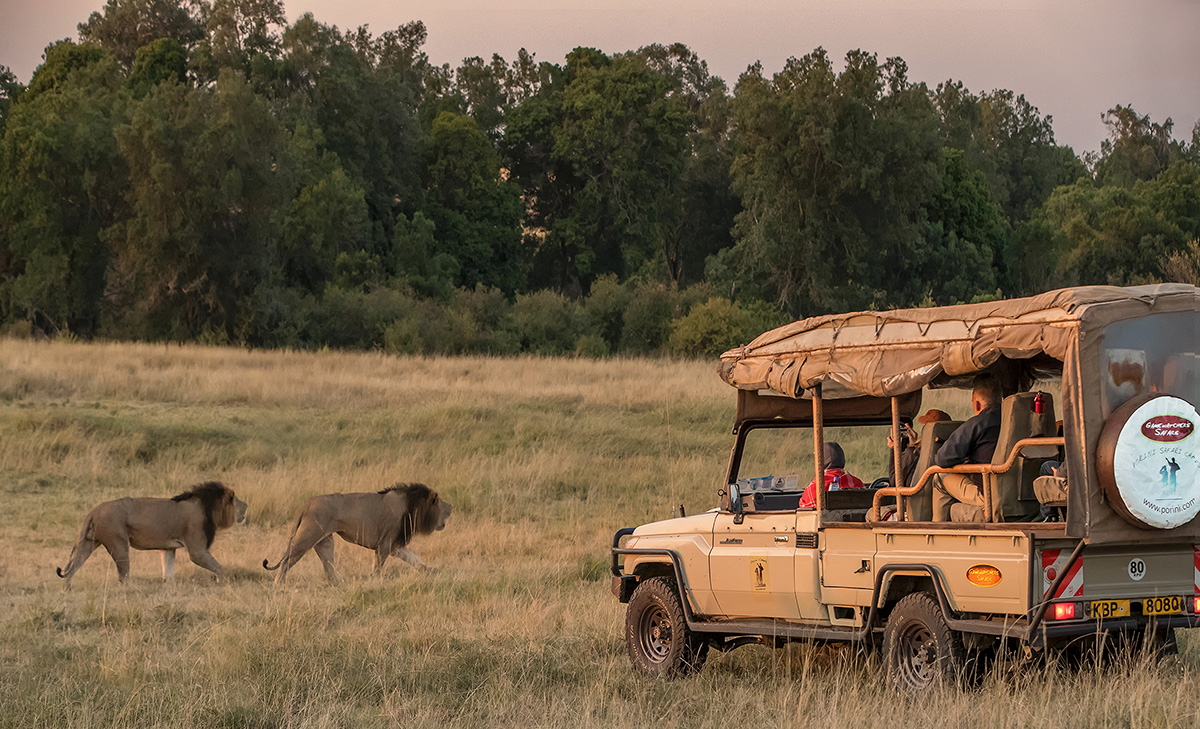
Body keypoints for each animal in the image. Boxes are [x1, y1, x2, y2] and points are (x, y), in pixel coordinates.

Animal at [56, 482, 248, 586]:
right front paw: (221, 583)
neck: (207, 507)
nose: (246, 505)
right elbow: (219, 567)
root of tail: (94, 511)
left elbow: (168, 571)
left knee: (73, 566)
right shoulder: (197, 549)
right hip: (118, 542)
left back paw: (67, 589)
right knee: (123, 575)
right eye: (236, 500)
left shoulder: (168, 548)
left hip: (88, 542)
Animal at [262, 483, 451, 584]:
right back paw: (278, 584)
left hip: (325, 541)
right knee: (287, 560)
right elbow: (378, 566)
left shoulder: (394, 545)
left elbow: (416, 560)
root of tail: (307, 504)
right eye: (441, 503)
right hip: (307, 537)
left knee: (328, 564)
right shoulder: (385, 543)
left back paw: (338, 583)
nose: (452, 507)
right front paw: (375, 581)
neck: (412, 506)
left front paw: (427, 572)